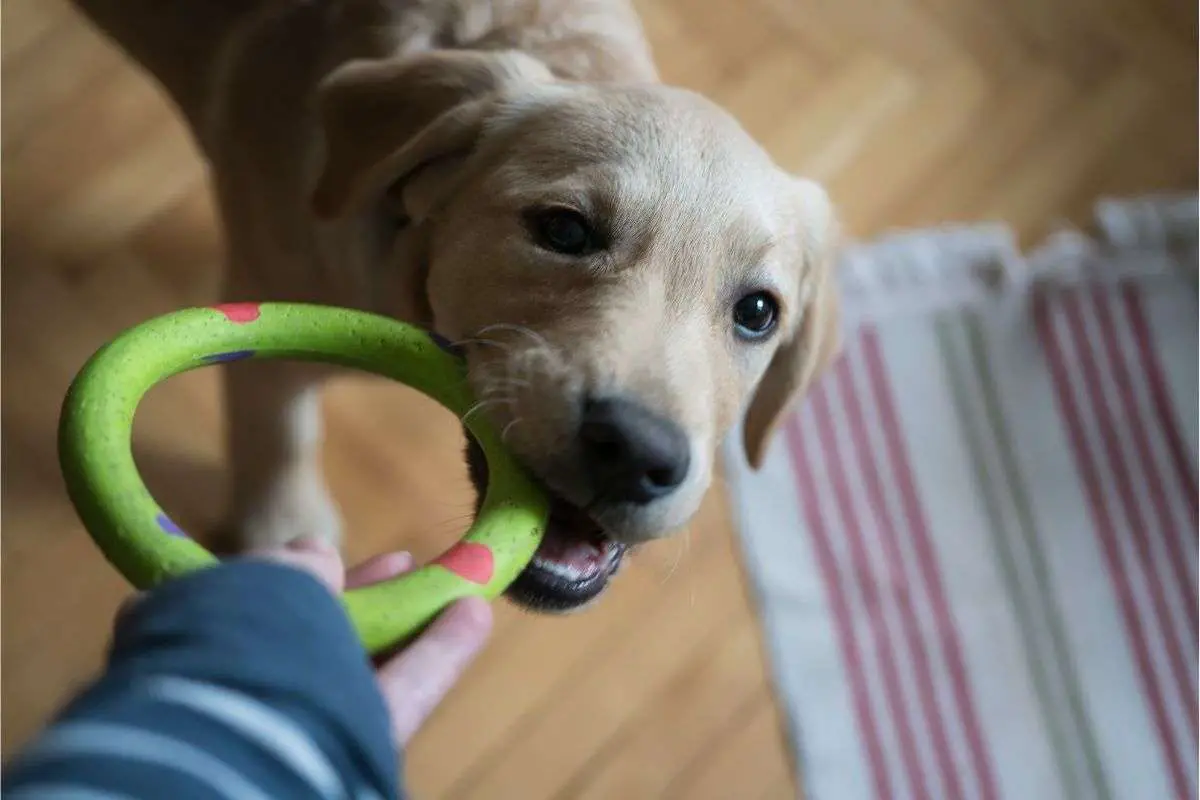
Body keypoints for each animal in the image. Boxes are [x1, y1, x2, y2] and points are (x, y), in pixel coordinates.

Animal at [70, 1, 840, 614]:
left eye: (758, 312)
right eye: (564, 231)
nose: (635, 454)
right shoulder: (267, 330)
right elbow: (279, 438)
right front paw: (281, 536)